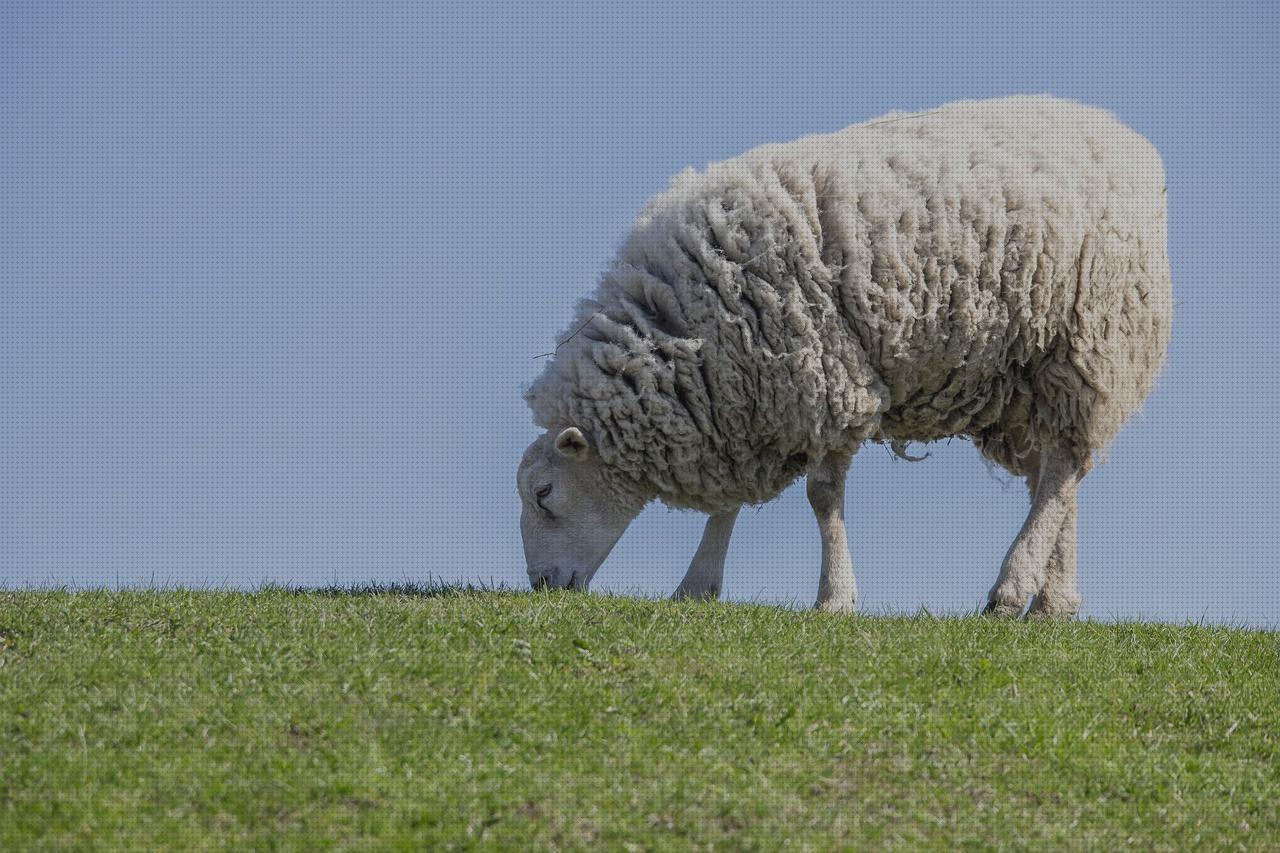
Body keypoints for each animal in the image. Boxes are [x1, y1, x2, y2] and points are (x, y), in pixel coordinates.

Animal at [512, 94, 1172, 617]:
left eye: (544, 493)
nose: (542, 586)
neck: (687, 327)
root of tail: (1126, 137)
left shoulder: (823, 379)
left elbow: (822, 497)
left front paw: (834, 597)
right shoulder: (741, 400)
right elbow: (728, 504)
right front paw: (697, 586)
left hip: (1087, 339)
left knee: (1061, 471)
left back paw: (1011, 590)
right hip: (1022, 378)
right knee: (1058, 475)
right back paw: (1053, 601)